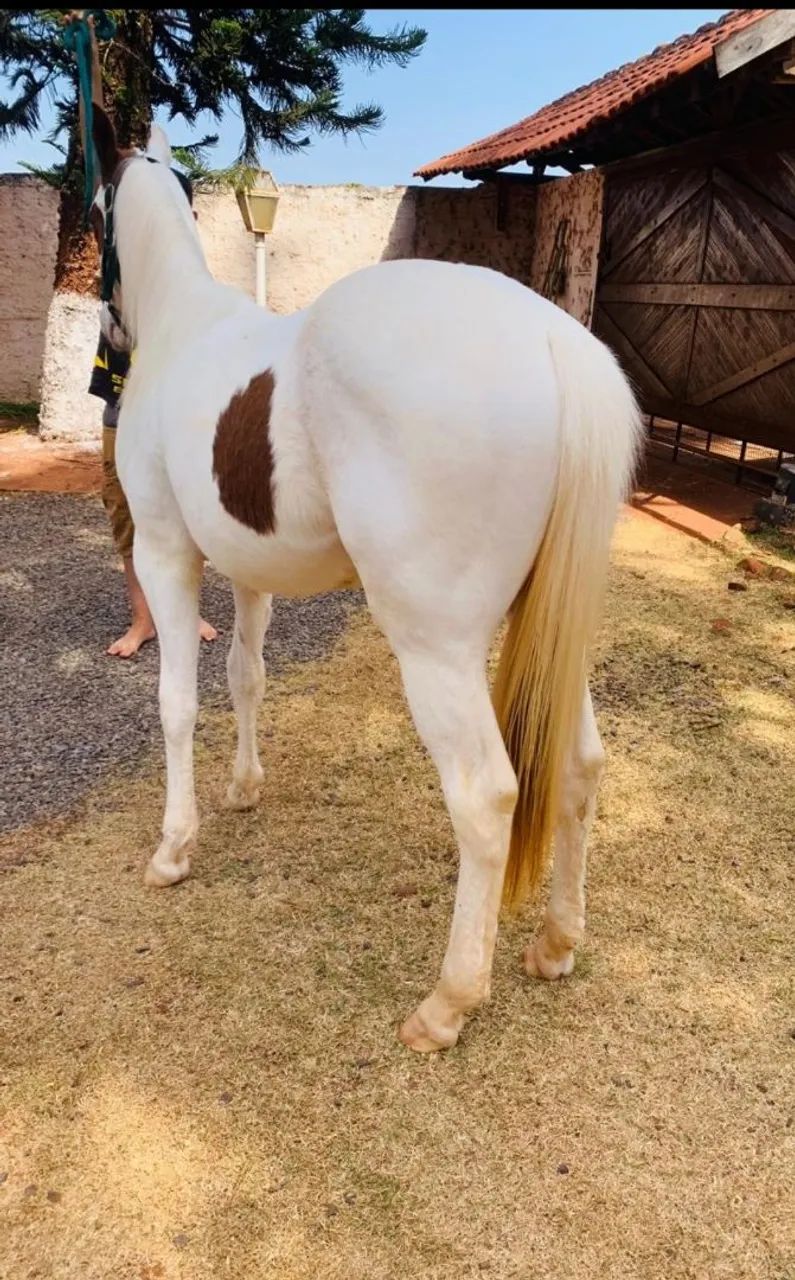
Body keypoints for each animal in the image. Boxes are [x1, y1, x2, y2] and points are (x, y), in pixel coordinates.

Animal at [89, 106, 641, 1053]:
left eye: (92, 212)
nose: (106, 342)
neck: (183, 327)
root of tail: (548, 340)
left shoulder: (166, 554)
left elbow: (176, 704)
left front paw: (173, 850)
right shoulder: (249, 570)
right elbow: (245, 675)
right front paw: (244, 790)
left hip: (436, 646)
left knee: (486, 797)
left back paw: (448, 1004)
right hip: (548, 627)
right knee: (579, 766)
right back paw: (556, 944)